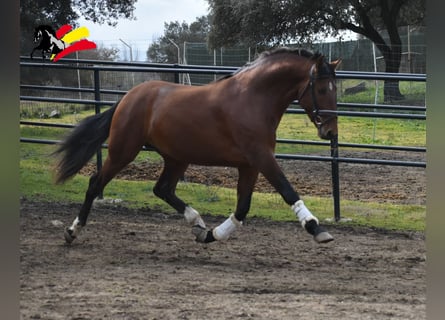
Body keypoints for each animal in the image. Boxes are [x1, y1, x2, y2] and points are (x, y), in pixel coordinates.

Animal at [55, 47, 340, 245]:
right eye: (322, 89)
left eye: (334, 89)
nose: (329, 132)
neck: (252, 99)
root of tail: (128, 98)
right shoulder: (261, 157)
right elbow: (287, 190)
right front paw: (316, 228)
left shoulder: (249, 165)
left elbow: (242, 209)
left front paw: (211, 235)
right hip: (123, 151)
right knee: (95, 184)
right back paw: (72, 231)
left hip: (176, 158)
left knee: (162, 189)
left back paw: (198, 222)